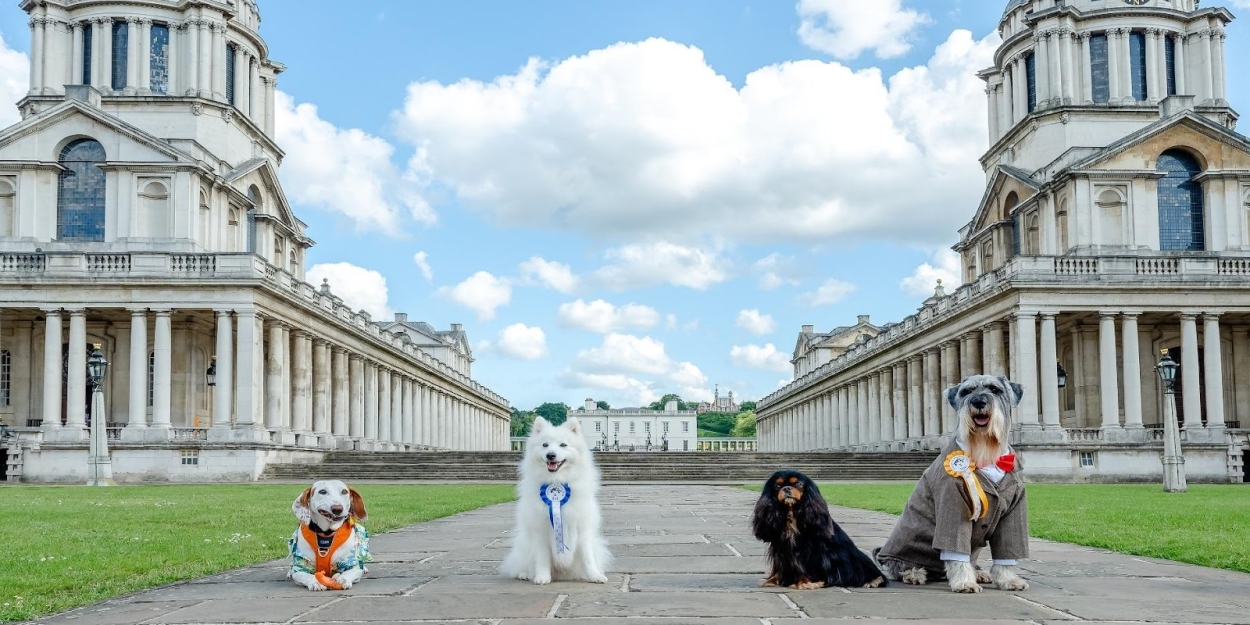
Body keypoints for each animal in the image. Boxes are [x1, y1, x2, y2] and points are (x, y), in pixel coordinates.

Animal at [500, 415, 612, 585]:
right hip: (524, 545)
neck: (556, 481)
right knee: (522, 565)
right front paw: (542, 577)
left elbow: (588, 557)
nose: (551, 455)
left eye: (563, 444)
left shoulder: (583, 528)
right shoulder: (541, 529)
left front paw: (595, 576)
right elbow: (542, 557)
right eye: (545, 445)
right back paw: (525, 574)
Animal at [875, 372, 1030, 592]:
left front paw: (1009, 580)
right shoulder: (954, 506)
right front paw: (965, 582)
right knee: (899, 565)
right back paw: (914, 573)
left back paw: (978, 572)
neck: (985, 453)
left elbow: (1007, 552)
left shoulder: (1013, 512)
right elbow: (956, 551)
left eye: (995, 389)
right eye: (966, 391)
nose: (978, 402)